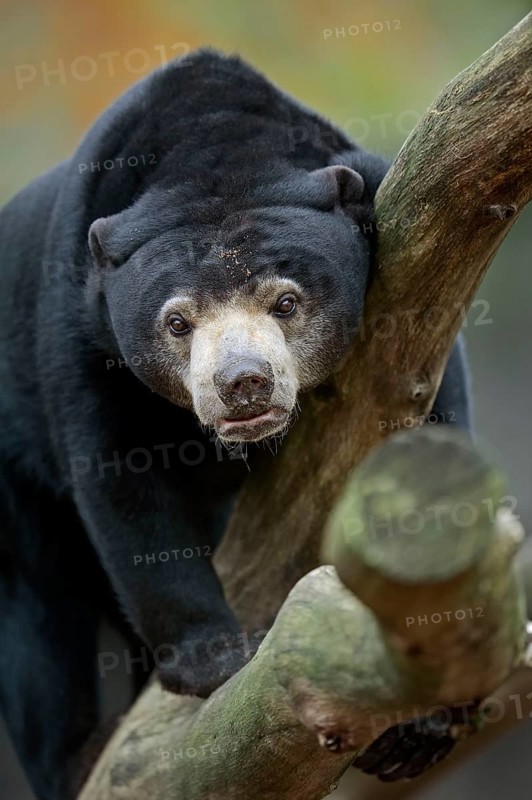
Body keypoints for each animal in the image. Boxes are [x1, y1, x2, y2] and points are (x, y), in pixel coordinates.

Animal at [0, 49, 470, 800]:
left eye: (286, 301)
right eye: (176, 321)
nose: (243, 382)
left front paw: (420, 720)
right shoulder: (76, 315)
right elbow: (120, 476)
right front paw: (216, 661)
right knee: (39, 615)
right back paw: (78, 758)